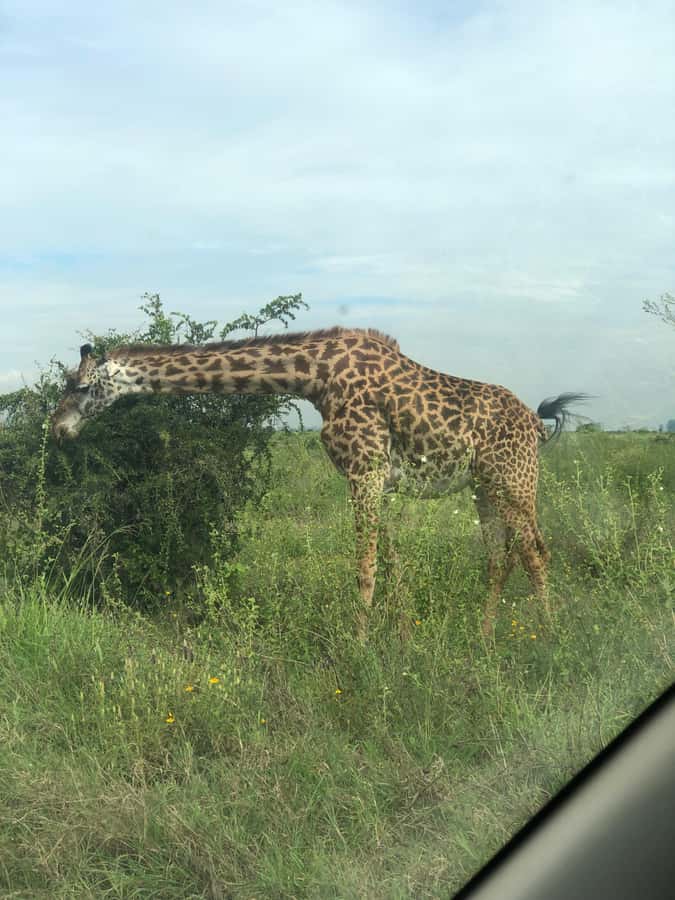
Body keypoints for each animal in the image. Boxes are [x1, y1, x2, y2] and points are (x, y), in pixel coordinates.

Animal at [52, 328, 587, 637]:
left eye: (81, 387)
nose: (58, 430)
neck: (314, 376)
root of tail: (536, 424)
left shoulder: (364, 469)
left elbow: (365, 568)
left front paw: (359, 651)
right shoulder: (377, 476)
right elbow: (393, 565)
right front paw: (403, 638)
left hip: (514, 479)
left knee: (536, 551)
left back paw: (552, 638)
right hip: (484, 487)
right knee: (502, 557)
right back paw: (485, 639)